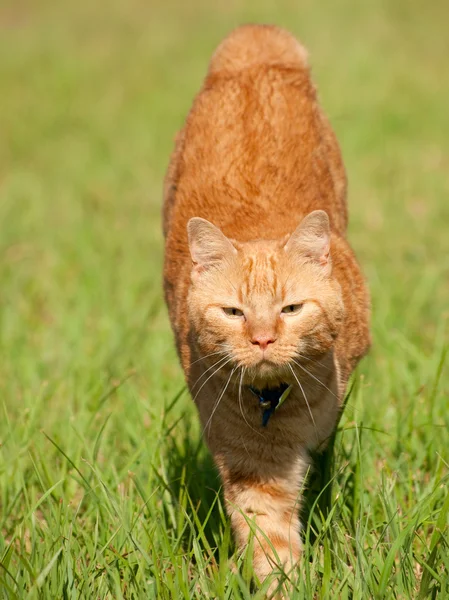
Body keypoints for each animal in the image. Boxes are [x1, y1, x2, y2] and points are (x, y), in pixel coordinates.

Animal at [163, 24, 370, 596]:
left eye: (291, 308)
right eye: (234, 313)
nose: (261, 339)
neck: (277, 404)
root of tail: (253, 34)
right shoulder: (253, 467)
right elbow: (269, 537)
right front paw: (282, 583)